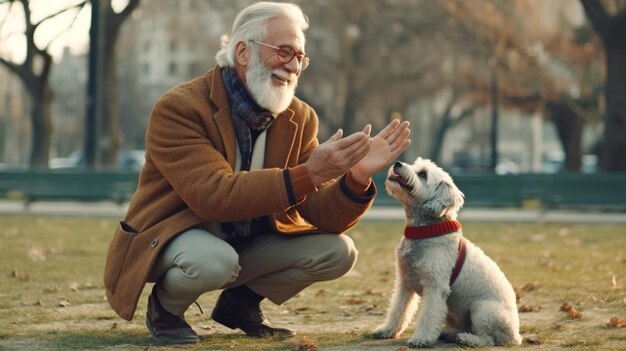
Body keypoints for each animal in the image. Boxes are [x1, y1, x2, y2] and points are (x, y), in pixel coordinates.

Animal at [370, 158, 520, 348]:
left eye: (423, 174)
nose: (397, 163)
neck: (425, 230)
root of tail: (515, 336)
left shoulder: (435, 287)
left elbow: (428, 315)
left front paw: (422, 339)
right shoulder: (405, 283)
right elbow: (398, 309)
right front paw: (387, 330)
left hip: (482, 310)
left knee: (487, 339)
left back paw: (467, 339)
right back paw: (450, 333)